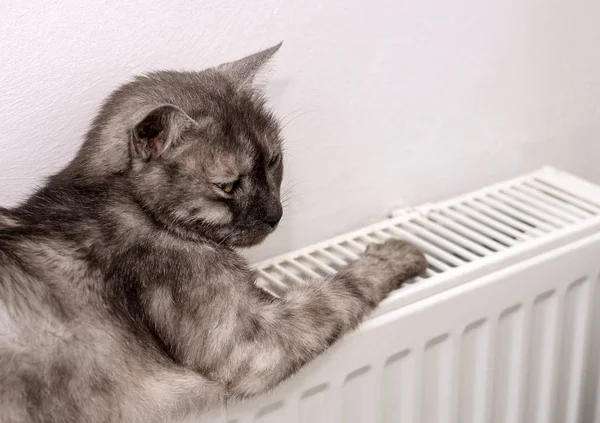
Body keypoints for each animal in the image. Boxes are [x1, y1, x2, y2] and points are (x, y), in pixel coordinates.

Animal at [0, 44, 426, 423]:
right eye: (227, 185)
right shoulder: (254, 343)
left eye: (274, 160)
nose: (274, 215)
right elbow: (337, 290)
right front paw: (397, 252)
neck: (124, 200)